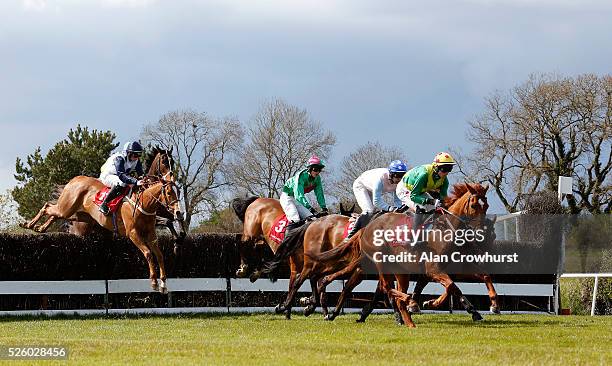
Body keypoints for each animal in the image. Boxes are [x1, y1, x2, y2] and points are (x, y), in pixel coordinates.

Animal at [22, 176, 180, 294]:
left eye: (177, 192)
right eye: (169, 193)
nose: (178, 212)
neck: (144, 203)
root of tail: (76, 178)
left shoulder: (150, 234)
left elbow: (159, 255)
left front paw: (163, 284)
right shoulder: (133, 233)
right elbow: (148, 253)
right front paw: (153, 282)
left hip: (80, 217)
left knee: (54, 214)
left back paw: (40, 227)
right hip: (67, 208)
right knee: (47, 206)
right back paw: (29, 224)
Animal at [314, 183, 490, 326]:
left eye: (486, 205)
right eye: (474, 205)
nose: (481, 231)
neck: (443, 231)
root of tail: (367, 227)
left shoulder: (441, 268)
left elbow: (452, 287)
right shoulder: (432, 269)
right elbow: (451, 286)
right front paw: (428, 304)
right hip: (379, 260)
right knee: (380, 286)